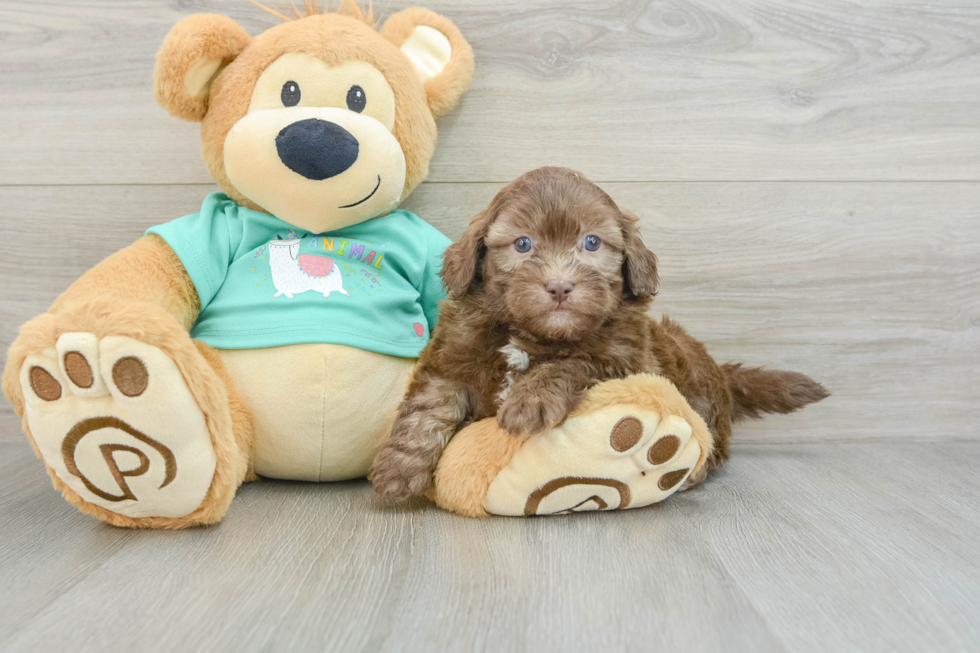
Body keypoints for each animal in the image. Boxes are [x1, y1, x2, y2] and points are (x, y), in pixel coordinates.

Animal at [372, 166, 832, 496]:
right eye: (523, 244)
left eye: (592, 243)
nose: (559, 286)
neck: (535, 334)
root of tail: (719, 371)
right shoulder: (453, 357)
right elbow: (428, 408)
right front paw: (400, 468)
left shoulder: (624, 360)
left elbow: (573, 362)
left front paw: (530, 399)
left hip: (699, 391)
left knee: (709, 438)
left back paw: (691, 472)